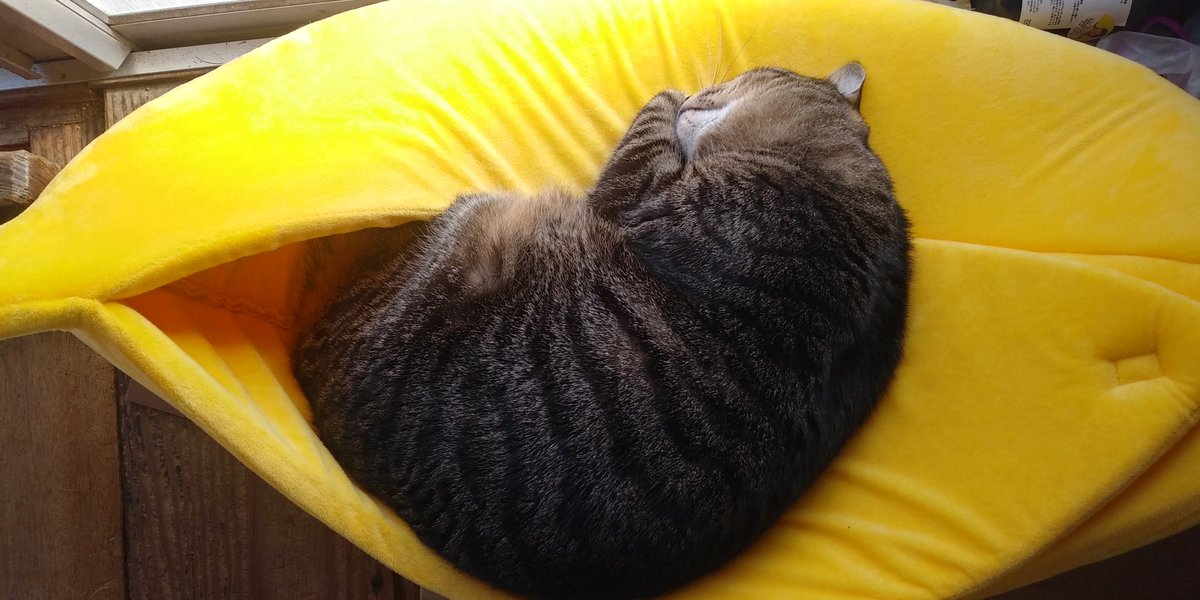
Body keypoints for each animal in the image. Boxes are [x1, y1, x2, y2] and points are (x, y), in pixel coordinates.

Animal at [293, 64, 911, 599]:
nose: (702, 91)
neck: (830, 176)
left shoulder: (640, 192)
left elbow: (649, 122)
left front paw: (671, 94)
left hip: (472, 224)